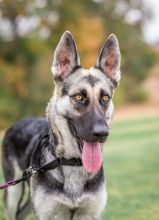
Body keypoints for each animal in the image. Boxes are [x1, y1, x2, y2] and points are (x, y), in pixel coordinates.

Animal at [1, 31, 121, 220]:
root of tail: (19, 122)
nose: (102, 133)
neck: (73, 163)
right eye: (79, 97)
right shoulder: (46, 214)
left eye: (105, 98)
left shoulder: (91, 214)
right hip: (13, 191)